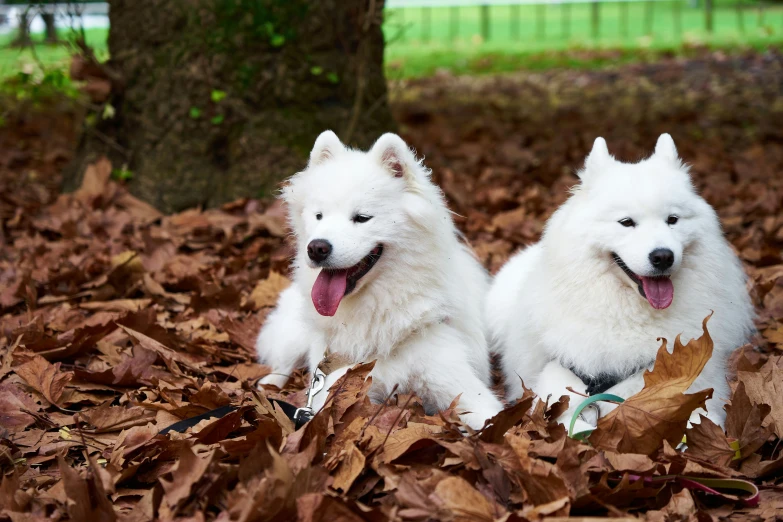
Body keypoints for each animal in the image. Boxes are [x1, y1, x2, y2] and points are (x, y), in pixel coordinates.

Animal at [258, 129, 502, 426]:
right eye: (319, 216)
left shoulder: (456, 380)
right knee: (281, 364)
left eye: (362, 217)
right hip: (293, 338)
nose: (316, 248)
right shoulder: (338, 386)